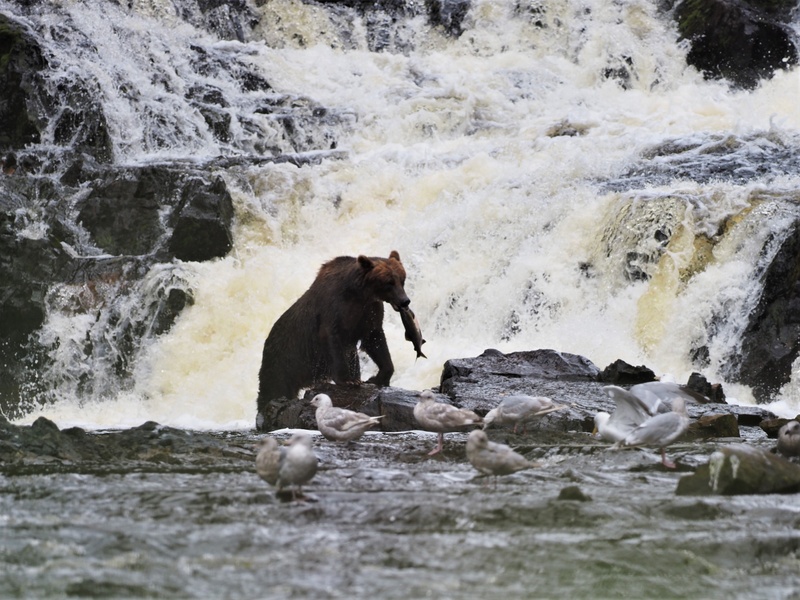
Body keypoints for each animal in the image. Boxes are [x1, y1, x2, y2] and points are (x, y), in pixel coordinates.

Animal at [256, 250, 410, 431]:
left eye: (402, 279)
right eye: (389, 282)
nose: (405, 301)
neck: (359, 294)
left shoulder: (369, 312)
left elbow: (375, 340)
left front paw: (377, 378)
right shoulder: (334, 310)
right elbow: (333, 341)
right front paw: (349, 380)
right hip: (282, 361)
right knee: (274, 388)